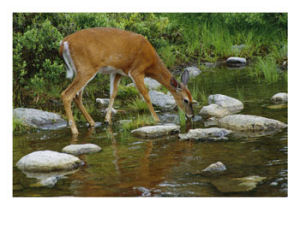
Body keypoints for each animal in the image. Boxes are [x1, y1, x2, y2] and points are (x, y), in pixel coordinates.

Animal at [59, 26, 195, 135]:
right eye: (186, 100)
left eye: (192, 98)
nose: (191, 116)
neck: (151, 64)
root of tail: (64, 42)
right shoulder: (136, 71)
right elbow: (146, 95)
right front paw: (157, 120)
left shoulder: (117, 72)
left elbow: (113, 94)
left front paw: (107, 120)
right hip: (86, 68)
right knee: (67, 94)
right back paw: (75, 130)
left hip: (81, 70)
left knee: (77, 96)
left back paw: (92, 123)